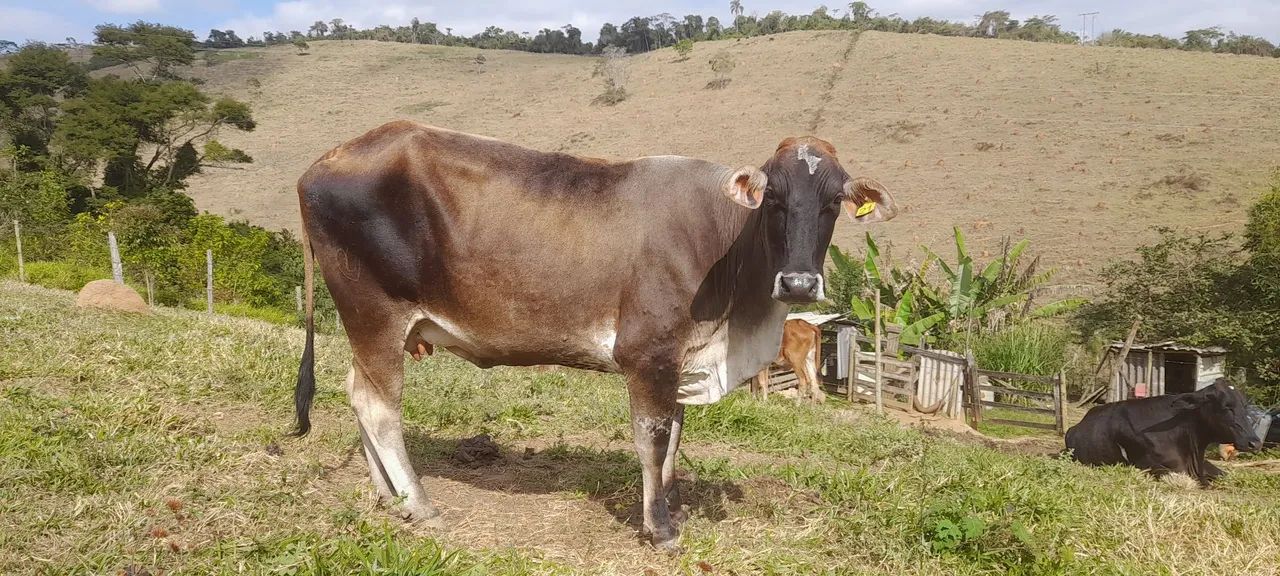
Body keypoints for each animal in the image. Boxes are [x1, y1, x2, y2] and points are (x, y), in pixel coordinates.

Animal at [289, 121, 898, 551]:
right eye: (773, 199)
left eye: (833, 202)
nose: (799, 282)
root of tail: (322, 162)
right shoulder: (648, 352)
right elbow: (653, 437)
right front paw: (660, 530)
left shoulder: (679, 357)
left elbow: (676, 436)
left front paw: (671, 505)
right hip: (375, 313)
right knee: (380, 406)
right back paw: (419, 505)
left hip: (369, 325)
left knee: (357, 394)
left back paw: (386, 496)